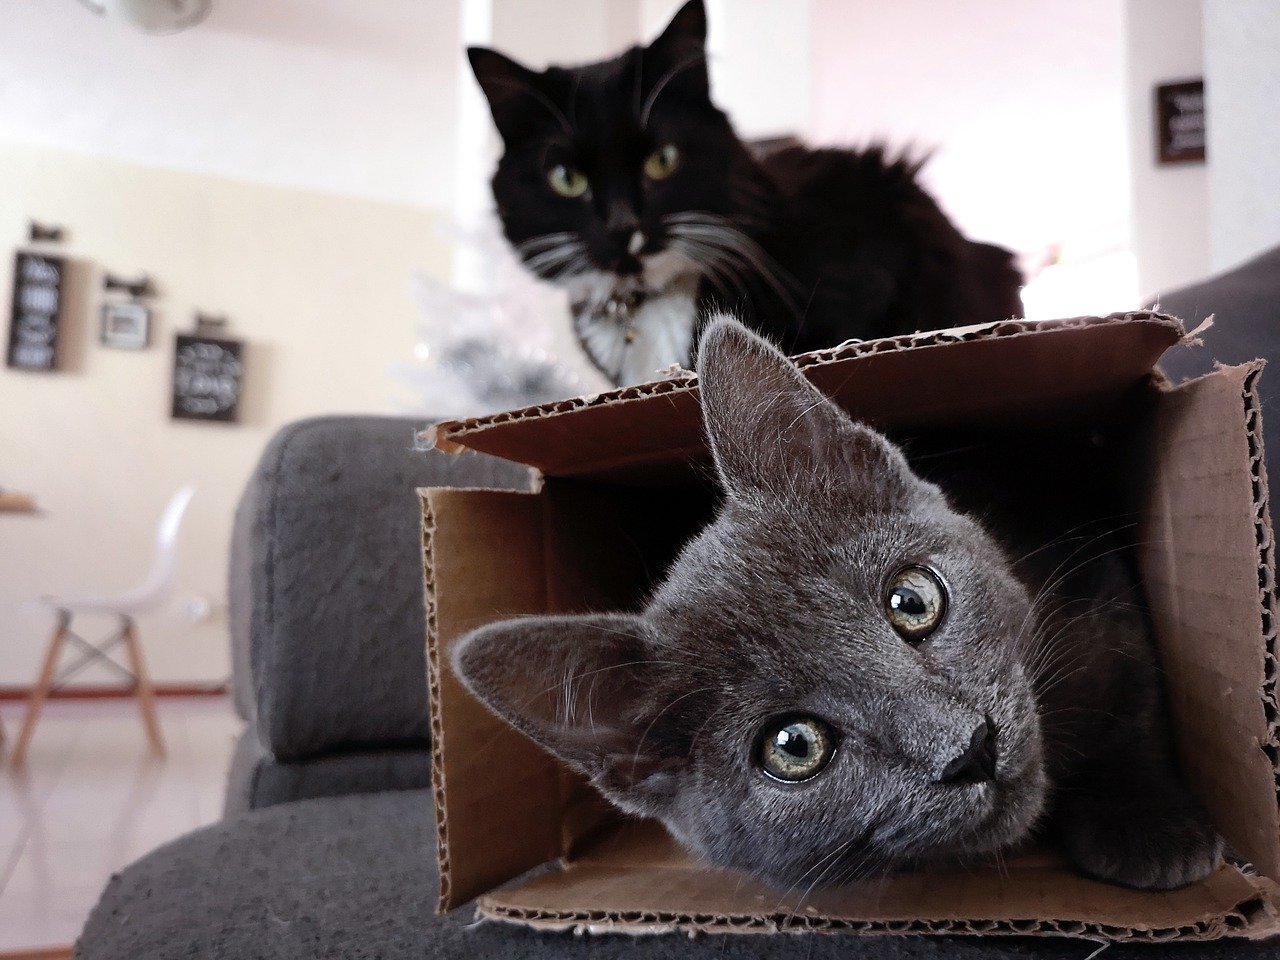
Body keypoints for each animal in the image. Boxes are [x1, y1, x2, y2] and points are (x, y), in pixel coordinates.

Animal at [450, 317, 1218, 896]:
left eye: (913, 600)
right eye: (794, 747)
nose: (969, 749)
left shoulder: (1096, 589)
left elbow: (1136, 699)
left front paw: (1148, 823)